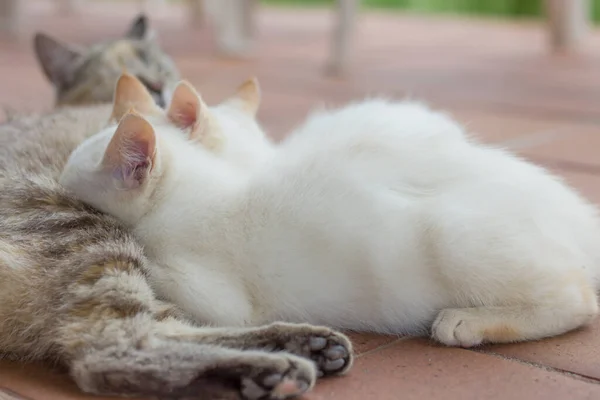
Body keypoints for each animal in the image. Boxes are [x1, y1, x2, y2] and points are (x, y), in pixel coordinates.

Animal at [0, 14, 354, 400]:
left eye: (159, 66)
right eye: (123, 71)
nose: (157, 85)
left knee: (154, 332)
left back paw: (305, 346)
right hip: (99, 240)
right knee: (111, 351)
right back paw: (275, 368)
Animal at [59, 86, 600, 346]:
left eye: (70, 183)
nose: (53, 186)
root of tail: (578, 216)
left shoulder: (220, 298)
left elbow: (153, 260)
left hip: (454, 234)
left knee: (579, 301)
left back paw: (469, 322)